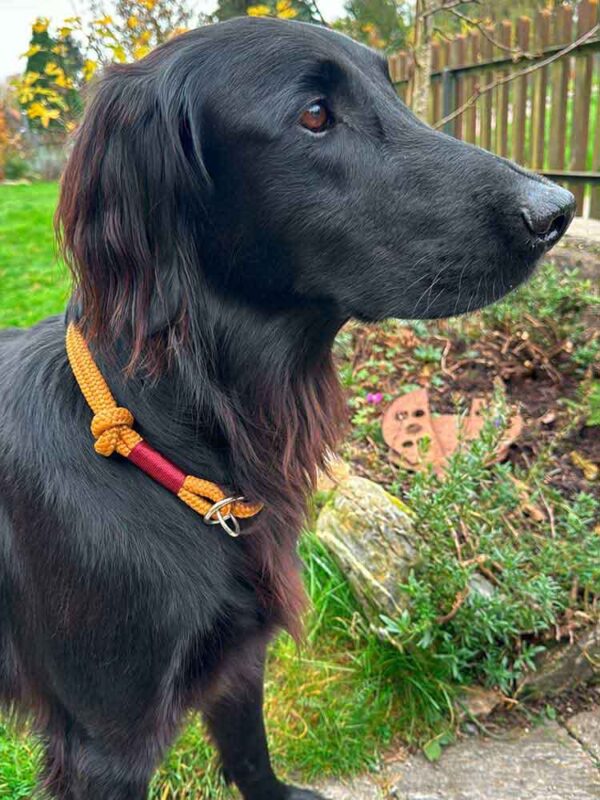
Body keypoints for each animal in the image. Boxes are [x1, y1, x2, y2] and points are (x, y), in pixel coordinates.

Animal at [0, 14, 572, 800]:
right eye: (314, 115)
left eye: (393, 91)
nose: (559, 212)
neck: (171, 446)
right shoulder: (105, 741)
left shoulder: (241, 652)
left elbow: (250, 750)